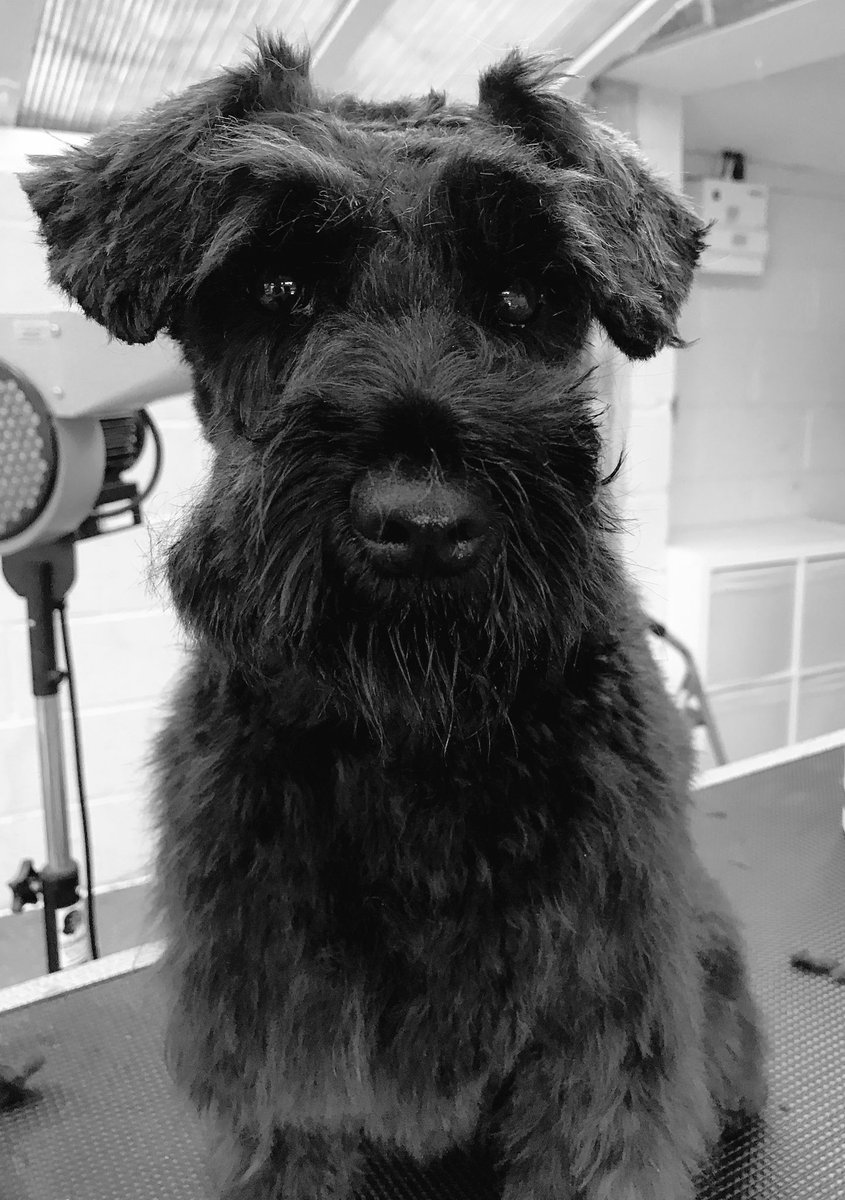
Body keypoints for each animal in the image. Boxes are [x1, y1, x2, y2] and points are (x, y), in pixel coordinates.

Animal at [24, 37, 768, 1200]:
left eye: (521, 297)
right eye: (278, 287)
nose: (419, 525)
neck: (415, 719)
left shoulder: (598, 1002)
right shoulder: (274, 1001)